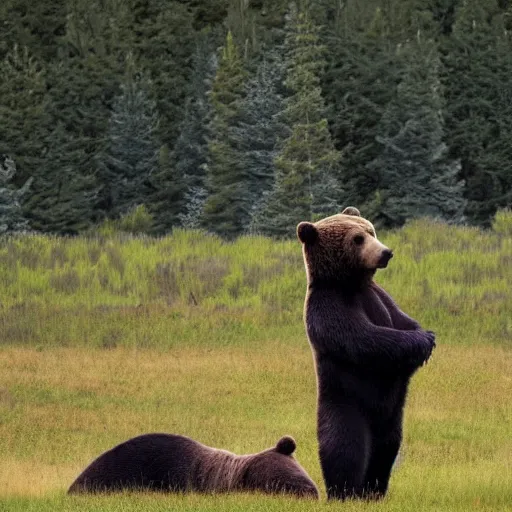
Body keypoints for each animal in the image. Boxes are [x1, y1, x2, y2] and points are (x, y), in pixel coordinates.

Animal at [296, 208, 436, 500]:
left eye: (371, 231)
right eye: (357, 239)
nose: (386, 252)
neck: (352, 284)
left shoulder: (380, 297)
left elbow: (403, 319)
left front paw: (427, 336)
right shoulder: (330, 306)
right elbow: (365, 338)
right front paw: (422, 342)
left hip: (392, 417)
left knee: (387, 448)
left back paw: (374, 490)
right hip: (345, 402)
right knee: (345, 447)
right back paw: (345, 492)